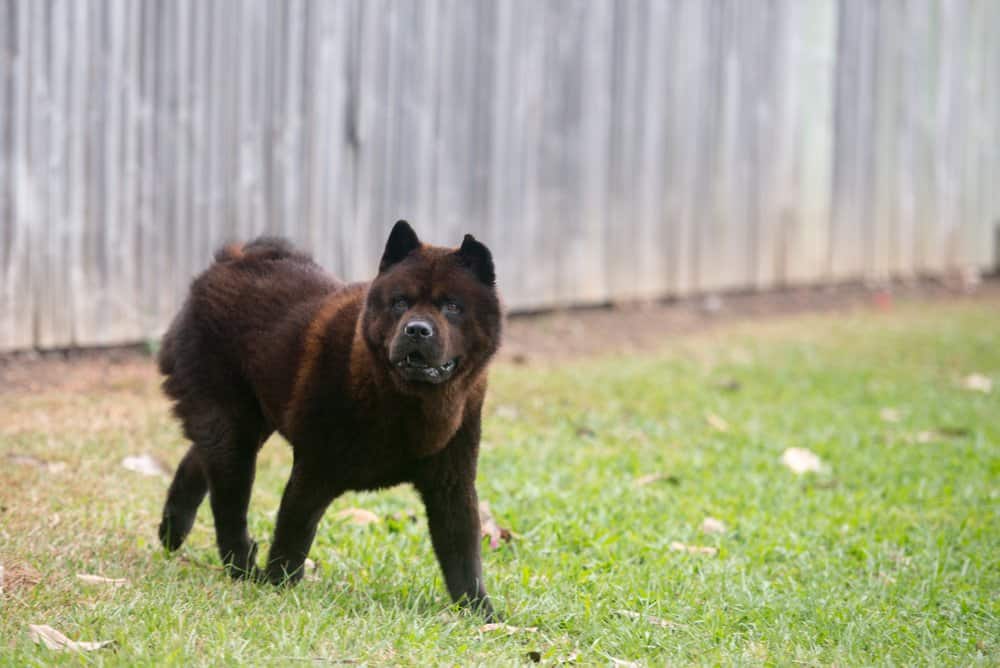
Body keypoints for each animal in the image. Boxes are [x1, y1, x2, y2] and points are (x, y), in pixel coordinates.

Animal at [158, 222, 500, 620]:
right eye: (400, 302)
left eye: (452, 307)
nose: (416, 329)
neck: (406, 402)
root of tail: (231, 260)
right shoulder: (315, 469)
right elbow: (294, 533)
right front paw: (278, 586)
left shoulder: (452, 483)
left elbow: (463, 555)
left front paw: (482, 615)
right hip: (233, 428)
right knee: (229, 505)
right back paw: (242, 568)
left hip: (247, 424)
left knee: (197, 460)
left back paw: (172, 532)